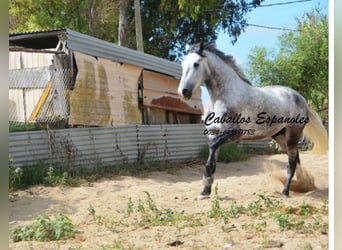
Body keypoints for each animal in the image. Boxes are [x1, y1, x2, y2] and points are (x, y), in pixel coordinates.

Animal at [178, 42, 328, 199]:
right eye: (183, 64)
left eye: (196, 64)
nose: (184, 92)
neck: (221, 97)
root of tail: (302, 99)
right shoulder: (213, 134)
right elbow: (211, 162)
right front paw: (204, 192)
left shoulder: (234, 135)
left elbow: (212, 151)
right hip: (280, 136)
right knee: (295, 159)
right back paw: (300, 185)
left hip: (293, 135)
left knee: (292, 163)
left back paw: (286, 192)